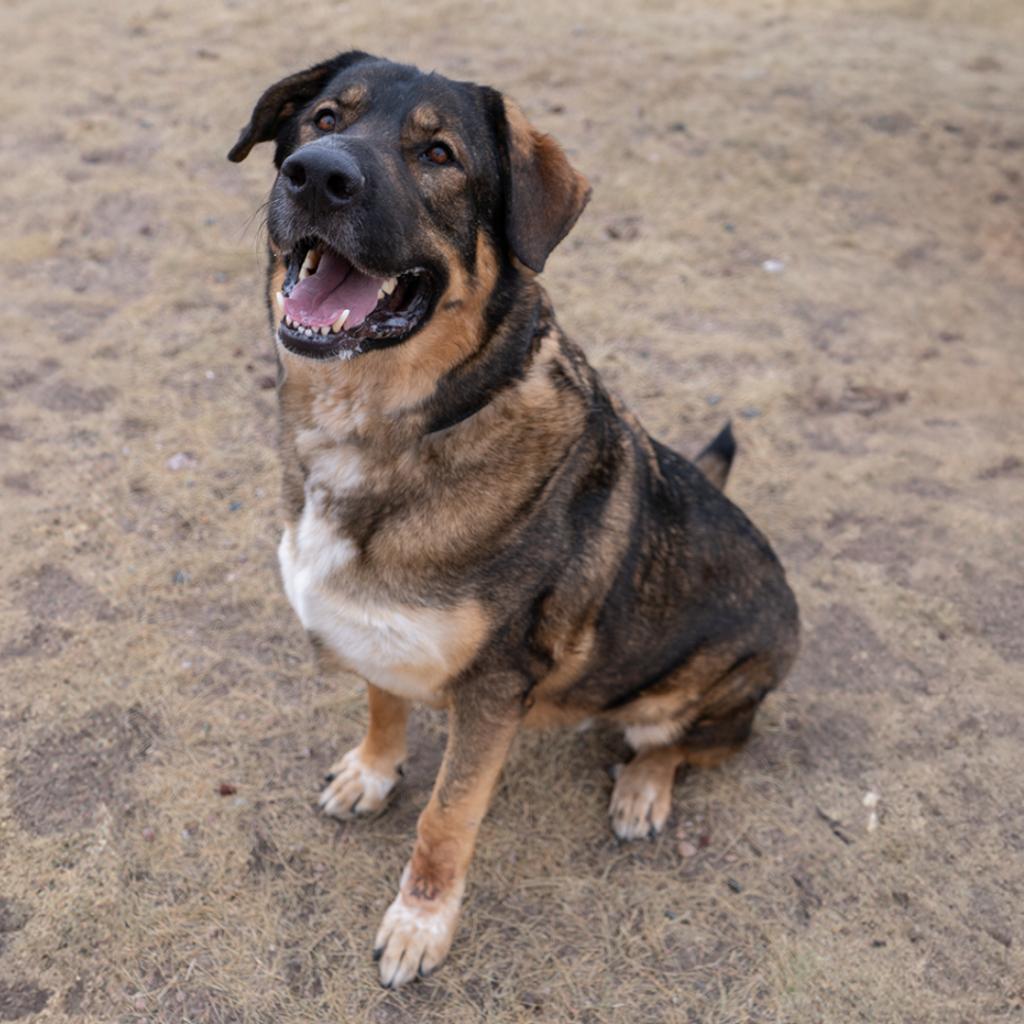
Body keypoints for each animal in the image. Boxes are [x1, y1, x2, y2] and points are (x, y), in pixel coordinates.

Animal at [232, 51, 798, 987]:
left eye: (440, 155)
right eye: (322, 118)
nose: (315, 174)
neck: (389, 425)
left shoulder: (495, 692)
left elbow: (446, 818)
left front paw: (420, 925)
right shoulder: (372, 630)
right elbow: (382, 706)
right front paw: (372, 772)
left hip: (701, 696)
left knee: (687, 742)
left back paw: (644, 788)